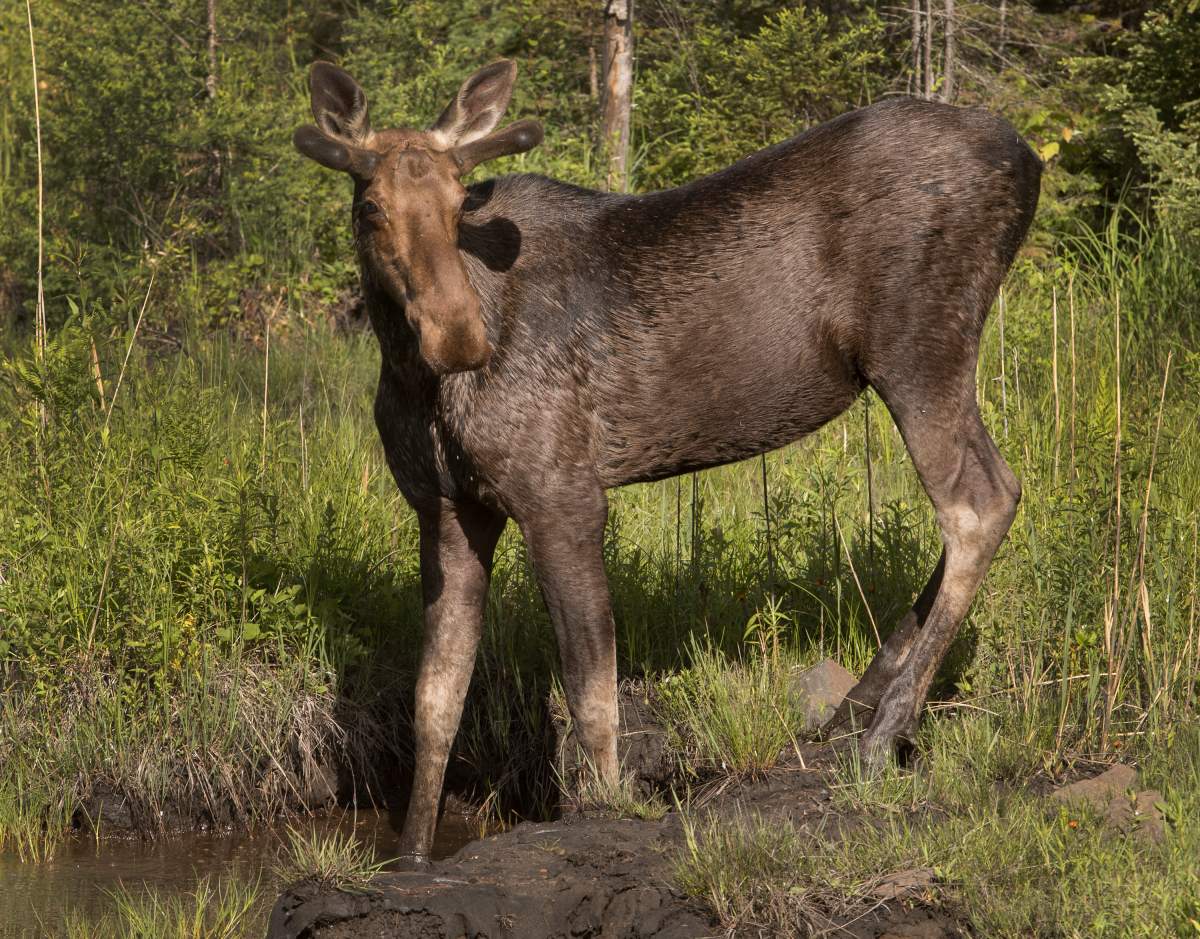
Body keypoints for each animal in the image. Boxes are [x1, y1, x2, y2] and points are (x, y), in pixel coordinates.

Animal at [293, 58, 1041, 867]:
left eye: (461, 201)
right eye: (370, 208)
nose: (458, 334)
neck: (413, 377)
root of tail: (1028, 159)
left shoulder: (562, 491)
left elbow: (590, 688)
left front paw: (604, 807)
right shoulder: (449, 507)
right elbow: (435, 700)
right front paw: (411, 856)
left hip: (918, 349)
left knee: (981, 501)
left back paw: (884, 732)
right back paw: (855, 707)